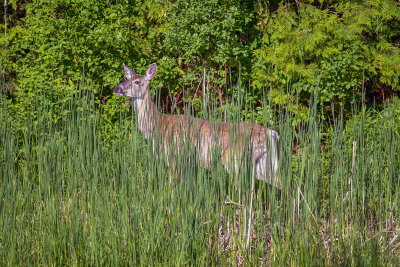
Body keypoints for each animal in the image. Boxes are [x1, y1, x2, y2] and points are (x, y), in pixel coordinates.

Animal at [114, 63, 280, 189]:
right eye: (126, 78)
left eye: (137, 82)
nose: (117, 88)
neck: (158, 126)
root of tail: (271, 133)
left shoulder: (174, 156)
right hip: (263, 163)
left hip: (236, 160)